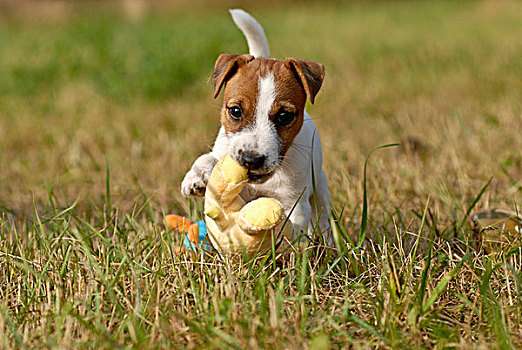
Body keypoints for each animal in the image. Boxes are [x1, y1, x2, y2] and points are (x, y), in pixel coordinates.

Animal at [181, 8, 332, 243]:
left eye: (284, 116)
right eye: (235, 111)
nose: (251, 160)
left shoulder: (294, 204)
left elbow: (290, 228)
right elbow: (209, 158)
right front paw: (196, 177)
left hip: (321, 189)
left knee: (322, 217)